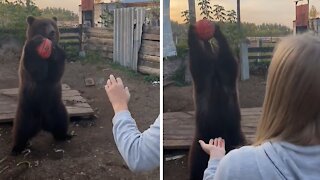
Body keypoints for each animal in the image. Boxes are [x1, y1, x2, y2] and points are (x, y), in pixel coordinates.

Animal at [11, 15, 72, 155]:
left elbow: (56, 72)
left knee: (62, 121)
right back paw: (17, 148)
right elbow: (38, 71)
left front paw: (55, 50)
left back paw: (64, 135)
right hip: (27, 110)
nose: (52, 32)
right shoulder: (28, 61)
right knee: (20, 130)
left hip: (56, 108)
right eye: (43, 25)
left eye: (53, 24)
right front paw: (38, 42)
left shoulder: (54, 72)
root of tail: (42, 124)